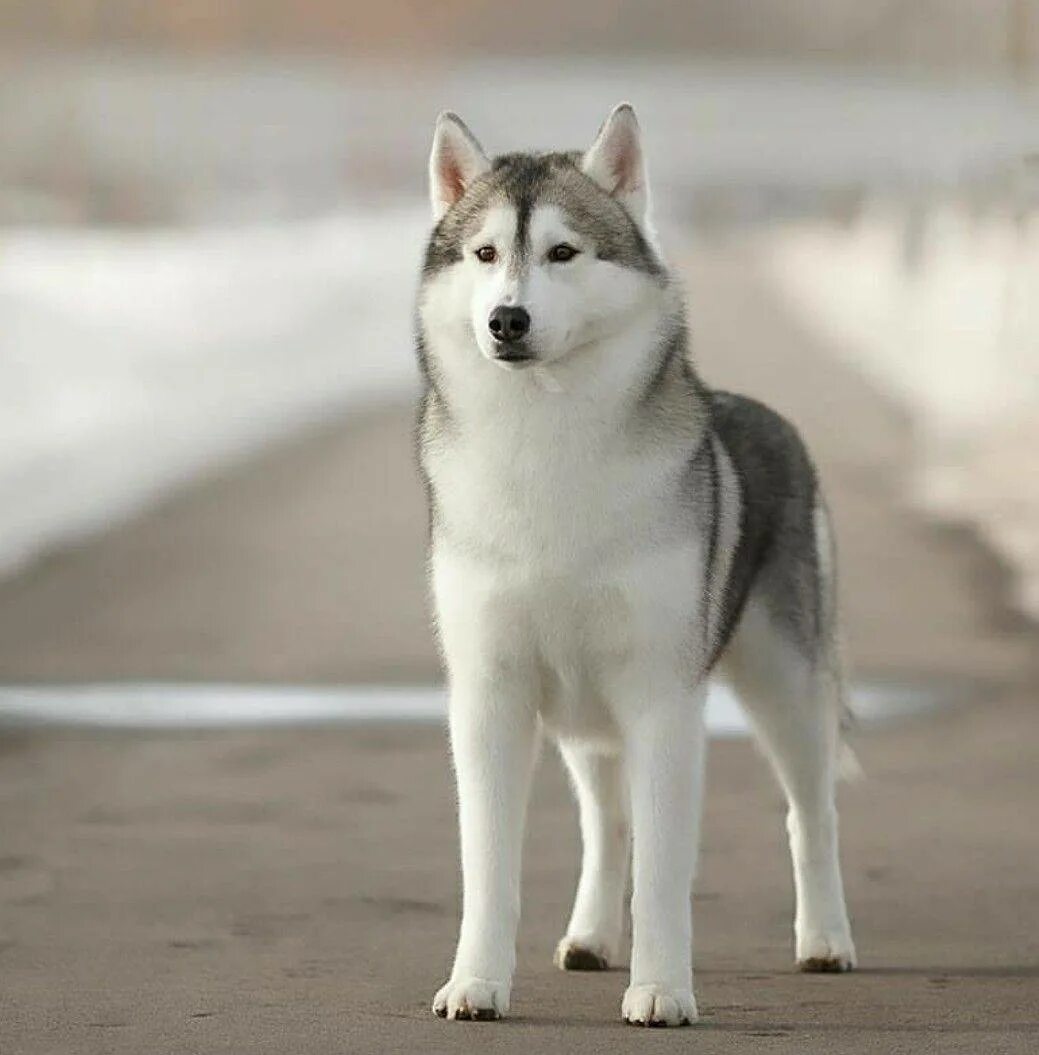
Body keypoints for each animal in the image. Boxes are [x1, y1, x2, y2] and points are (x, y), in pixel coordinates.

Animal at [417, 102, 856, 1025]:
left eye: (562, 252)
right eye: (484, 254)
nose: (505, 320)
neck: (545, 444)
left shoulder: (663, 697)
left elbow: (663, 868)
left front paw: (660, 990)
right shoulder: (490, 692)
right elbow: (490, 865)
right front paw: (475, 982)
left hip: (785, 686)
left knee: (810, 815)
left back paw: (826, 939)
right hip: (589, 717)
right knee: (605, 824)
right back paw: (589, 936)